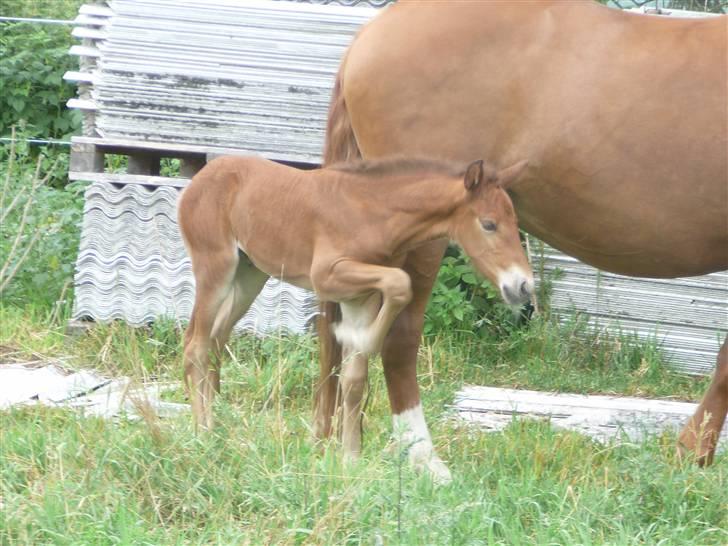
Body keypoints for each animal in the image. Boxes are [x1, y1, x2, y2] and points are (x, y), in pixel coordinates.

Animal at [176, 154, 528, 476]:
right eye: (489, 224)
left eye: (515, 223)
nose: (522, 286)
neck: (374, 213)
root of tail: (199, 179)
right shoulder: (327, 276)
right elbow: (401, 284)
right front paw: (354, 337)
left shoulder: (361, 297)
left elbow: (355, 378)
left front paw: (350, 459)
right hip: (216, 266)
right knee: (196, 344)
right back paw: (203, 433)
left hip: (249, 275)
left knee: (216, 338)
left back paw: (218, 422)